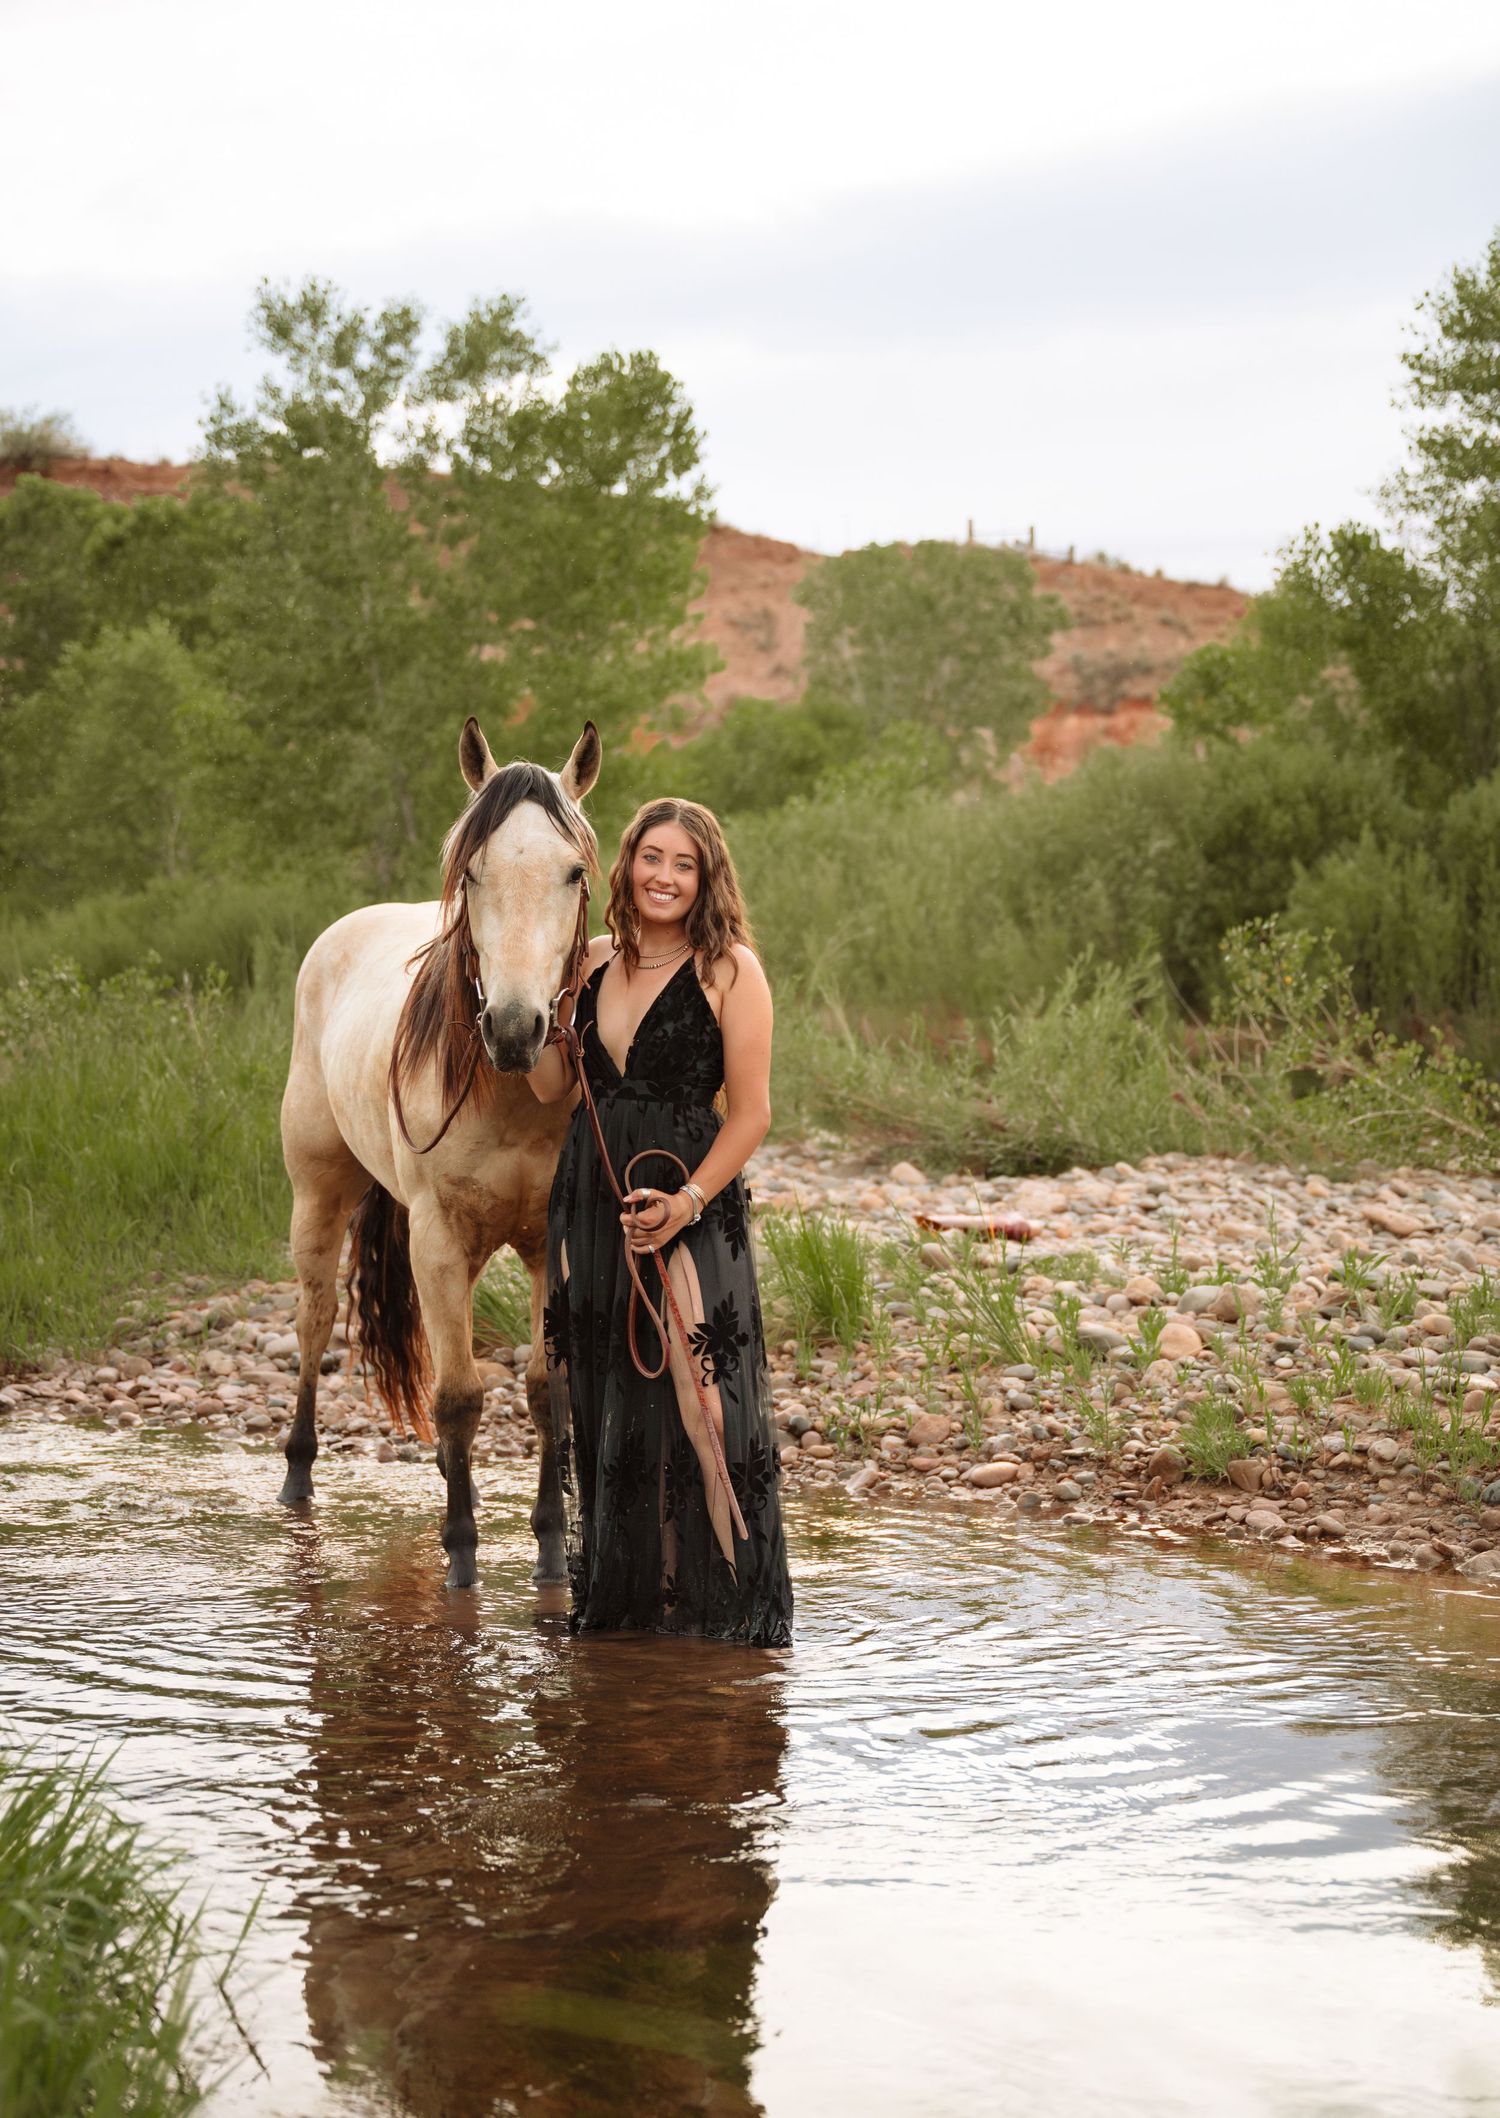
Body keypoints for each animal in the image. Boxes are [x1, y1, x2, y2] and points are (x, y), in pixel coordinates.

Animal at [277, 715, 601, 1589]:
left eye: (572, 872)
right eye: (473, 870)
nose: (516, 1029)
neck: (513, 1096)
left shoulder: (550, 1242)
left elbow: (546, 1390)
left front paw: (551, 1553)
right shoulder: (438, 1237)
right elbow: (458, 1396)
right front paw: (460, 1556)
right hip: (320, 1199)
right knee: (315, 1322)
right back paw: (296, 1477)